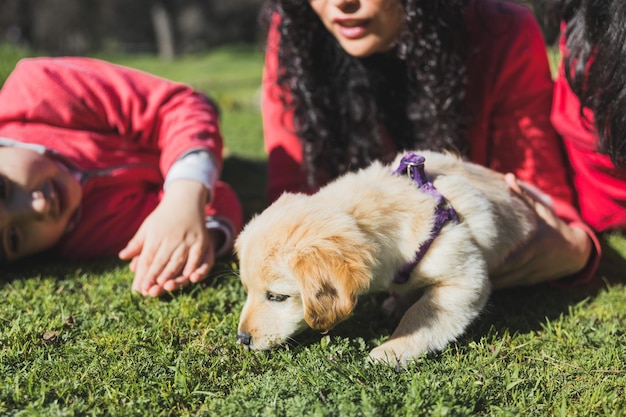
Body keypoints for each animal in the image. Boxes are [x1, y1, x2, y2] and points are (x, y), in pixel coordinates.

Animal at [232, 150, 532, 364]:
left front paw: (391, 350)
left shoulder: (466, 276)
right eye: (247, 290)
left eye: (277, 296)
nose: (242, 339)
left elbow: (422, 313)